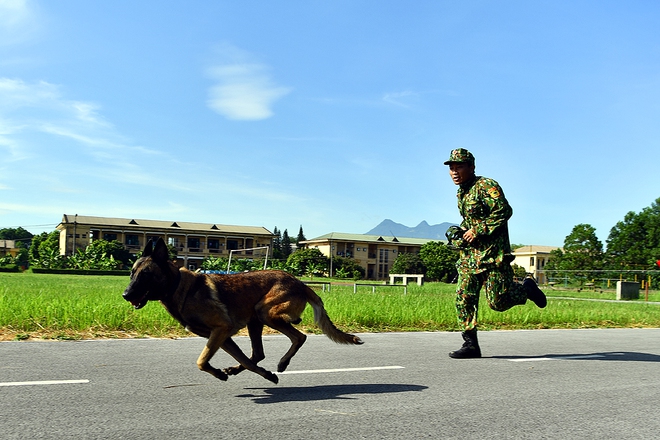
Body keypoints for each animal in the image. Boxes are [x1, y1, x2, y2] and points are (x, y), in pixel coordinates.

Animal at [121, 235, 364, 384]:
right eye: (132, 273)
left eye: (146, 275)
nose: (125, 294)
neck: (179, 286)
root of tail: (300, 283)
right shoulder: (221, 336)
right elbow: (242, 359)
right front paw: (263, 375)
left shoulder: (220, 330)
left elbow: (201, 362)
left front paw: (221, 374)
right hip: (254, 321)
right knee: (257, 353)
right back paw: (238, 369)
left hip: (265, 313)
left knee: (299, 337)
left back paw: (283, 363)